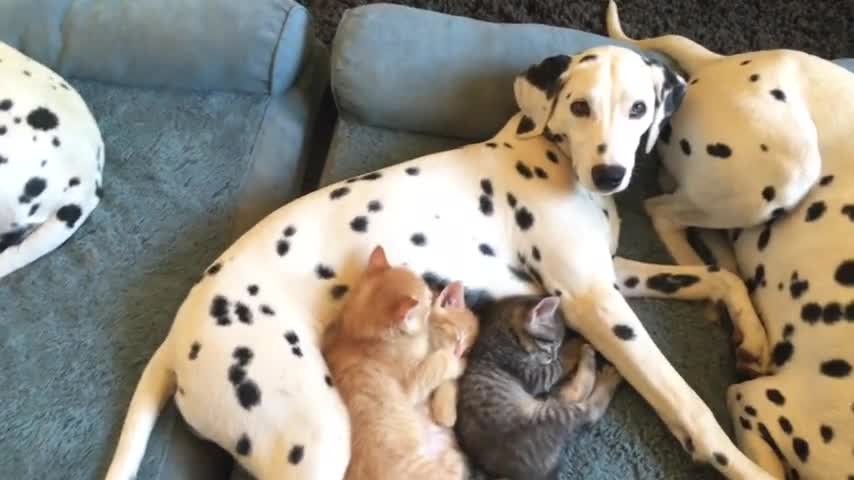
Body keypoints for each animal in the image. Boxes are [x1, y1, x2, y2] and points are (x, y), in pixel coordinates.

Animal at [458, 292, 624, 480]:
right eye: (551, 347)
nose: (553, 356)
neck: (502, 330)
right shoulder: (532, 375)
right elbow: (559, 364)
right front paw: (573, 347)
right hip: (550, 416)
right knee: (589, 409)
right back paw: (602, 371)